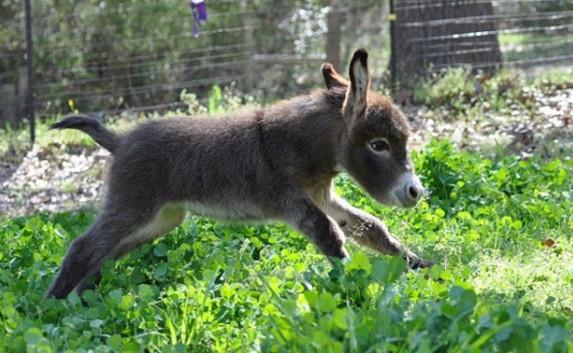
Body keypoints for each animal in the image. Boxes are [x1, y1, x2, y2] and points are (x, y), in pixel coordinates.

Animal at [47, 48, 432, 298]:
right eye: (379, 145)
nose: (415, 192)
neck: (301, 146)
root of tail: (121, 139)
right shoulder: (292, 201)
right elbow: (330, 235)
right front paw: (353, 283)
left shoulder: (322, 195)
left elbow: (371, 228)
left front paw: (421, 266)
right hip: (133, 206)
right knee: (84, 247)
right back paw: (50, 308)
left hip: (161, 219)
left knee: (107, 251)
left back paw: (82, 298)